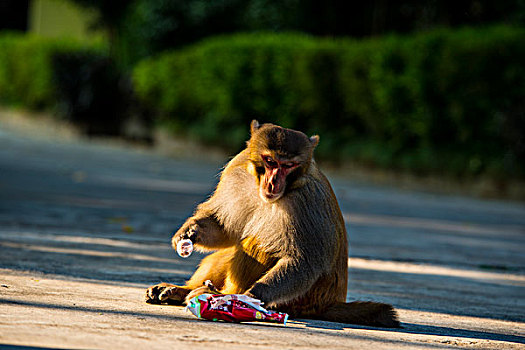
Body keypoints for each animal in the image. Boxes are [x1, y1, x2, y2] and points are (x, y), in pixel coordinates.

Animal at [143, 120, 398, 328]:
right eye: (270, 161)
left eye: (288, 166)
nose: (274, 181)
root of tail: (327, 304)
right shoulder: (236, 171)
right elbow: (225, 229)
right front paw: (190, 232)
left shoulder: (306, 201)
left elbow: (304, 262)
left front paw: (249, 297)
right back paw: (185, 291)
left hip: (300, 302)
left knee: (256, 243)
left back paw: (222, 295)